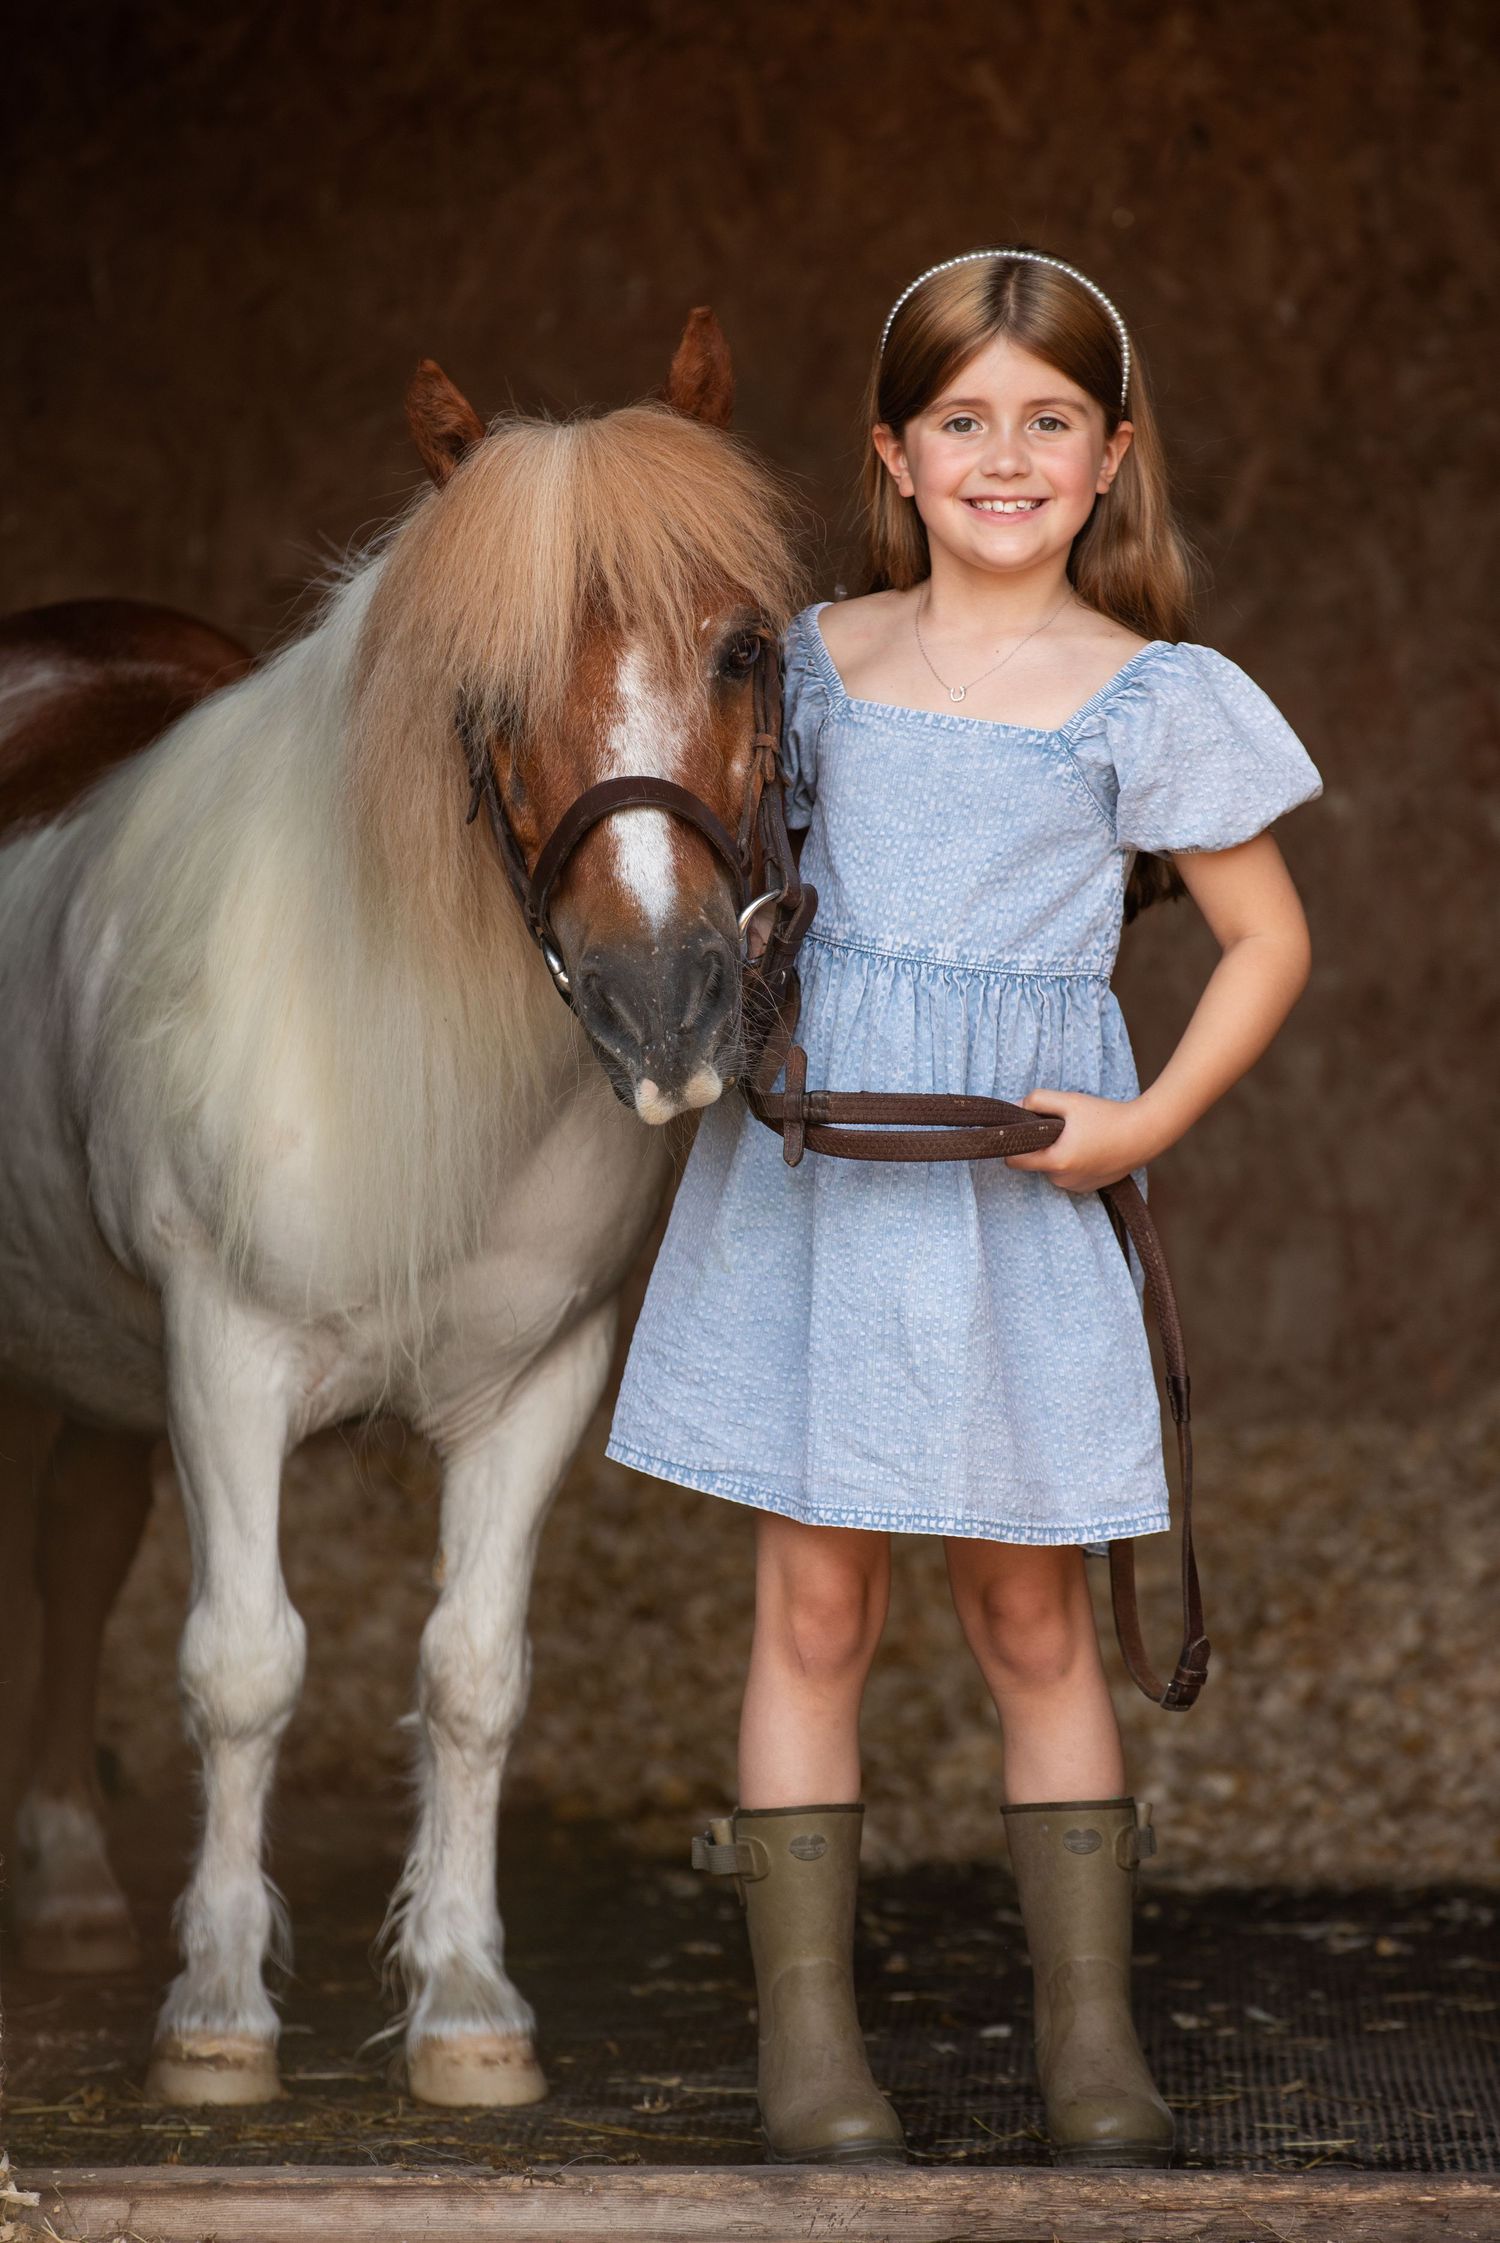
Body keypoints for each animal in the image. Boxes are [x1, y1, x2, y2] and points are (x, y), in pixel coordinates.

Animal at [0, 310, 803, 2107]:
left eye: (743, 651)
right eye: (483, 690)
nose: (667, 1005)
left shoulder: (537, 1381)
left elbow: (473, 1675)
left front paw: (467, 2003)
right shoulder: (224, 1359)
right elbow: (244, 1665)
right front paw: (218, 2014)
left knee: (71, 1553)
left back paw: (69, 1880)